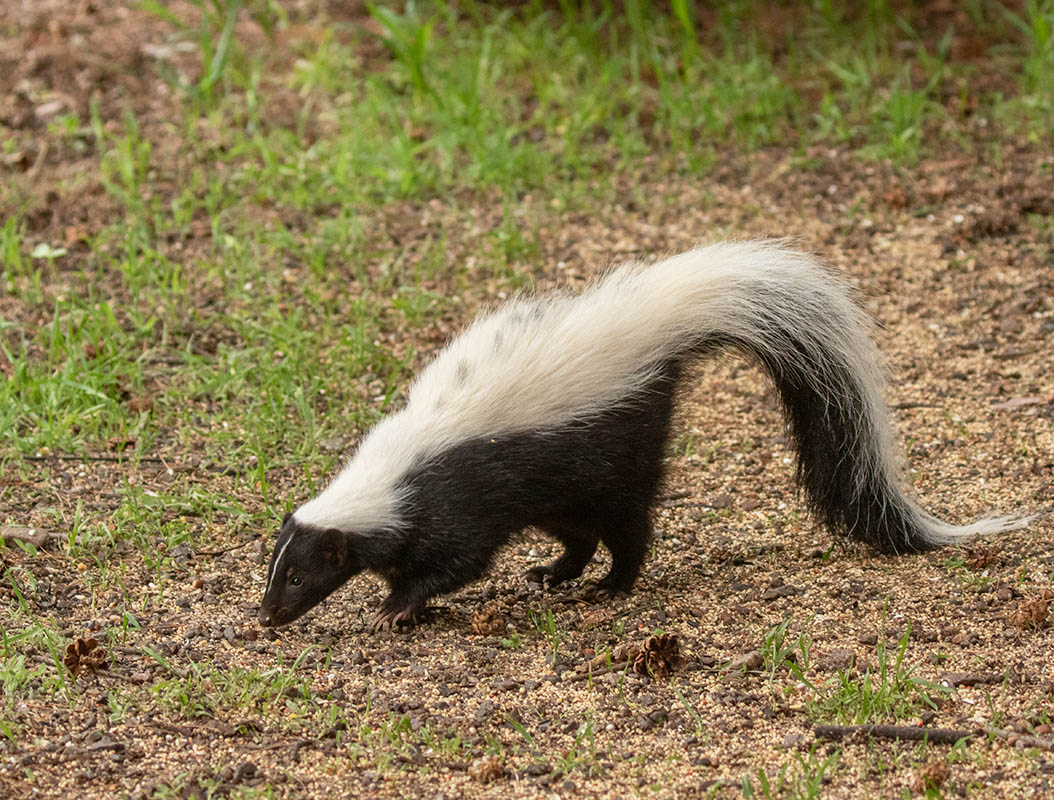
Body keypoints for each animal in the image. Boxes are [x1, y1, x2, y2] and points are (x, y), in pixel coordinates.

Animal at [259, 241, 1024, 628]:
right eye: (275, 568)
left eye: (298, 575)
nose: (266, 617)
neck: (388, 474)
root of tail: (655, 319)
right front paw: (398, 599)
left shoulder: (455, 496)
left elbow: (457, 559)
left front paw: (395, 608)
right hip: (565, 479)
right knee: (578, 529)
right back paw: (555, 573)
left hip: (614, 442)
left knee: (627, 524)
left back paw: (610, 586)